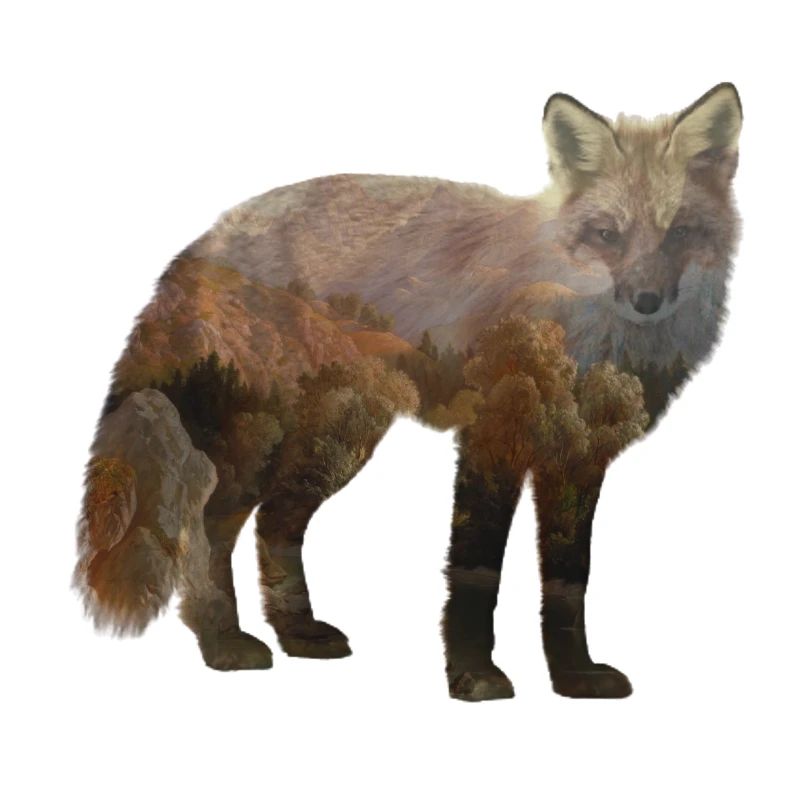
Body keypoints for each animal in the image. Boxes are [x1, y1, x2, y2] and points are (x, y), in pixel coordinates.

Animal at [75, 83, 742, 701]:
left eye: (680, 232)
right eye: (608, 235)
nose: (646, 301)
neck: (588, 334)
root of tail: (207, 237)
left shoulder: (577, 460)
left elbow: (568, 581)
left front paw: (574, 677)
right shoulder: (492, 440)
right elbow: (476, 573)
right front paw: (474, 676)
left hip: (337, 444)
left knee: (276, 525)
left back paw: (297, 634)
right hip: (257, 446)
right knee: (204, 531)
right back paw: (223, 643)